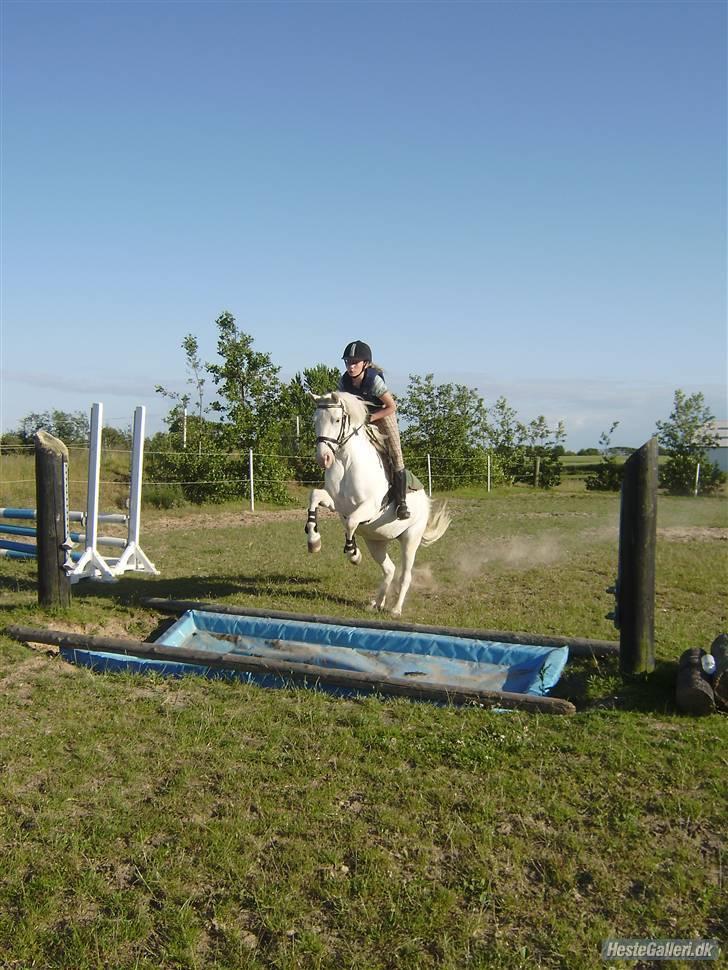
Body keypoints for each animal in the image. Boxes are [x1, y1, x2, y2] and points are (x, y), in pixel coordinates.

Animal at [302, 392, 450, 612]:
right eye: (315, 421)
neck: (347, 462)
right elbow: (314, 497)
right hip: (376, 541)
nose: (324, 458)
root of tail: (425, 499)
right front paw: (314, 542)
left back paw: (395, 609)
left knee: (405, 574)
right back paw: (376, 603)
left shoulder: (369, 507)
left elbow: (351, 523)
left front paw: (354, 555)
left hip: (410, 538)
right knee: (389, 569)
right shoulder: (336, 503)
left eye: (336, 420)